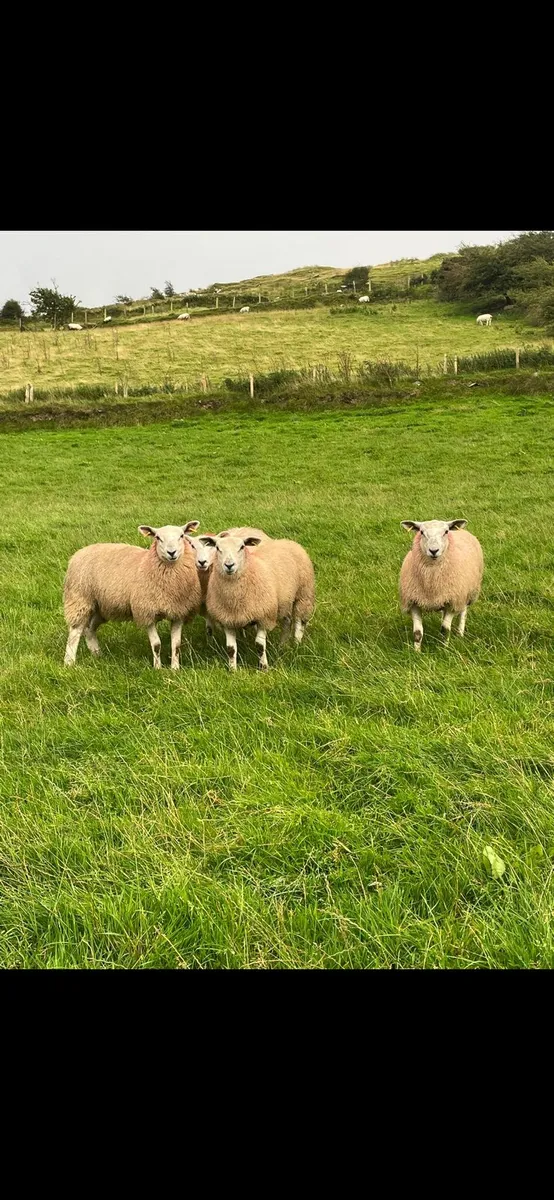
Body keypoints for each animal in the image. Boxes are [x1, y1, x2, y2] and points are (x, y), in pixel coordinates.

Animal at [63, 520, 202, 669]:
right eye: (157, 537)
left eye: (181, 536)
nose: (171, 552)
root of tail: (79, 552)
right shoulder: (146, 612)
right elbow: (156, 645)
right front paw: (158, 668)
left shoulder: (178, 612)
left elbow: (176, 645)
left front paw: (175, 669)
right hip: (80, 599)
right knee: (75, 632)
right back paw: (69, 662)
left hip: (102, 607)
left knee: (89, 629)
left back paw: (97, 655)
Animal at [199, 534, 315, 670]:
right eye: (217, 548)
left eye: (242, 547)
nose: (229, 565)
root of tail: (288, 541)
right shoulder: (228, 619)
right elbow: (231, 649)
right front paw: (232, 669)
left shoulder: (263, 617)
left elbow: (259, 646)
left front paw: (264, 667)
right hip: (283, 602)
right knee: (287, 622)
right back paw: (282, 646)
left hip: (304, 594)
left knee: (299, 623)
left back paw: (296, 645)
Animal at [399, 519, 484, 651]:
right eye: (421, 532)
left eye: (446, 532)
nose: (434, 551)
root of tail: (462, 531)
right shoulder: (413, 602)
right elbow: (417, 633)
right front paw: (416, 652)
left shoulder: (453, 602)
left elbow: (445, 629)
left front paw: (444, 649)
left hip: (466, 594)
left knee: (463, 612)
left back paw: (460, 634)